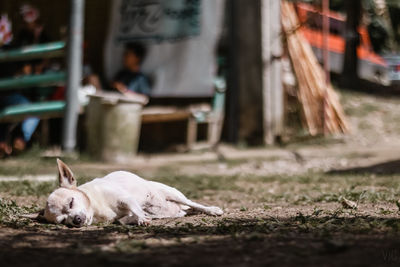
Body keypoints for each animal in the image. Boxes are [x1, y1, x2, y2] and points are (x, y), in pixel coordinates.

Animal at [41, 159, 223, 228]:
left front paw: (141, 218)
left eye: (71, 202)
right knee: (184, 211)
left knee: (194, 204)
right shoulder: (120, 214)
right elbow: (123, 219)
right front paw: (139, 218)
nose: (76, 220)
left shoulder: (125, 199)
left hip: (174, 193)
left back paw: (212, 210)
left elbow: (134, 208)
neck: (97, 208)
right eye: (63, 220)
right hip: (175, 209)